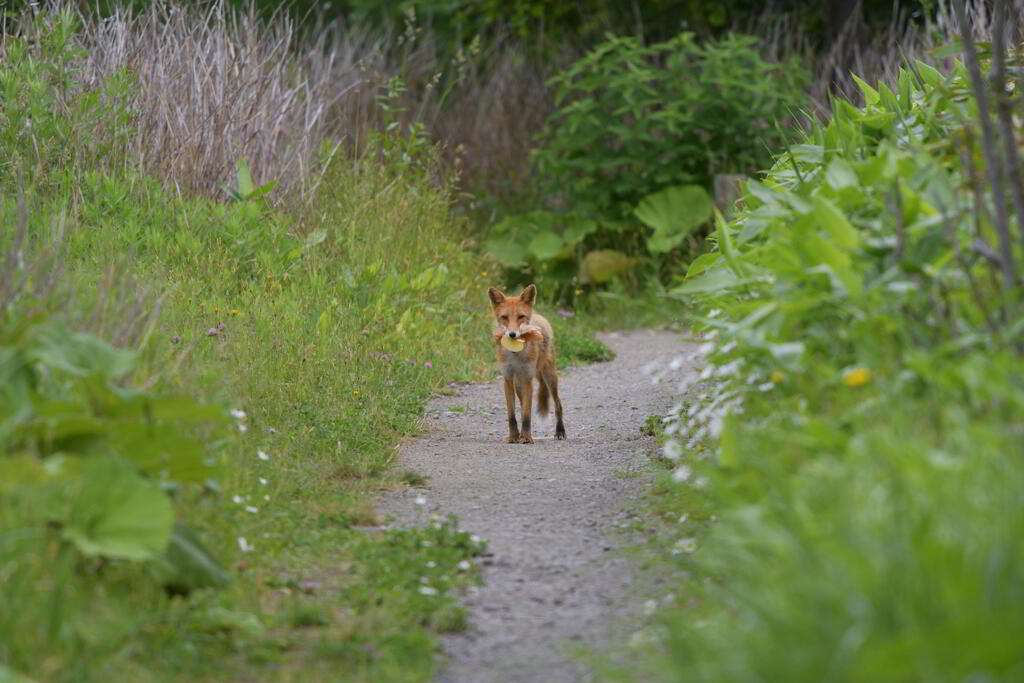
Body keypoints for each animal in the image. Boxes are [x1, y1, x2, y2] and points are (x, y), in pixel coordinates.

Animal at [485, 282, 565, 446]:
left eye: (521, 317)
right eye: (504, 317)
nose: (512, 334)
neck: (516, 355)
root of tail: (539, 316)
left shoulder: (528, 379)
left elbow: (527, 415)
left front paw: (527, 437)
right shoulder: (508, 379)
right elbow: (512, 415)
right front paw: (514, 436)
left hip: (549, 376)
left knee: (558, 404)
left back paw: (560, 432)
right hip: (519, 385)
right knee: (522, 406)